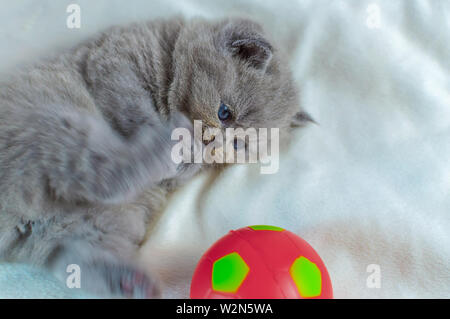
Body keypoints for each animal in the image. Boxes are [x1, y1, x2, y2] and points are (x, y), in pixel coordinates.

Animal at [0, 16, 312, 298]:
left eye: (238, 145)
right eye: (224, 113)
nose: (213, 143)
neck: (168, 55)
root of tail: (23, 221)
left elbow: (181, 171)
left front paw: (188, 154)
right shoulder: (116, 65)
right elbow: (136, 111)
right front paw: (179, 139)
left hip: (88, 224)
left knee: (75, 253)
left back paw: (133, 283)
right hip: (51, 117)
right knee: (103, 175)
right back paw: (166, 140)